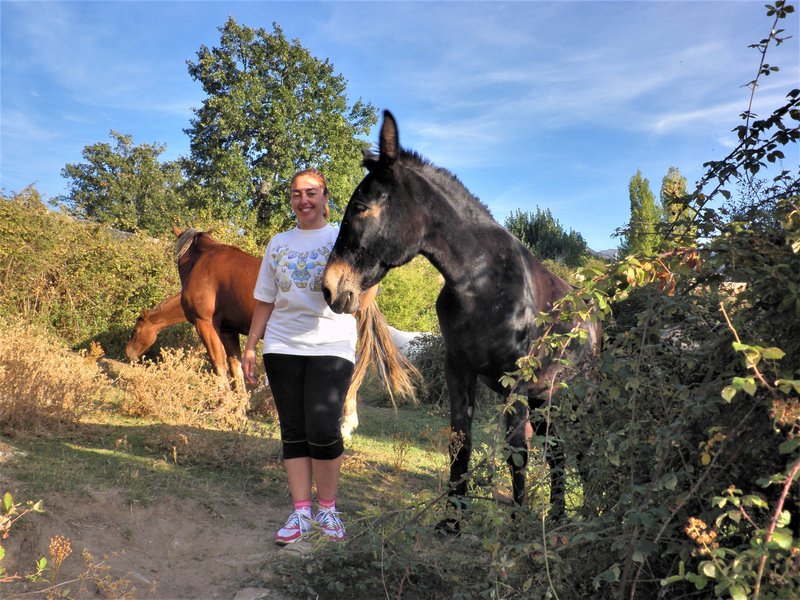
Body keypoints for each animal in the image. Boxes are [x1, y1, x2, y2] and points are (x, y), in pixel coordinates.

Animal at [170, 225, 418, 436]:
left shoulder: (205, 324)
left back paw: (344, 424)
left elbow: (219, 365)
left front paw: (224, 407)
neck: (201, 262)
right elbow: (235, 368)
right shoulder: (228, 330)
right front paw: (238, 409)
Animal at [324, 111, 600, 528]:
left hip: (572, 398)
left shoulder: (515, 383)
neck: (481, 282)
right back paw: (557, 517)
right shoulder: (459, 369)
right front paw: (452, 520)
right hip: (545, 399)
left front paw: (516, 524)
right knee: (558, 454)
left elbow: (517, 452)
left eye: (360, 207)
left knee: (580, 453)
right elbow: (460, 441)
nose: (329, 287)